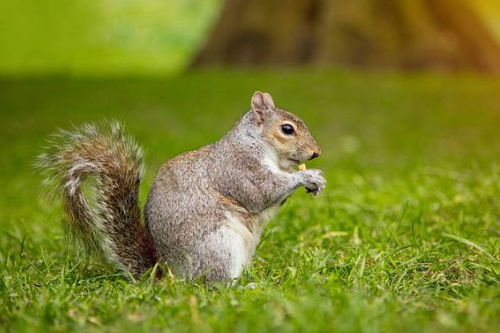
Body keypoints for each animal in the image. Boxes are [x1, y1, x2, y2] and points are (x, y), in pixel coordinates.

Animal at [37, 90, 326, 280]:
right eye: (287, 129)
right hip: (218, 246)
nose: (316, 152)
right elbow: (262, 192)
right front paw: (307, 177)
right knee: (215, 283)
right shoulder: (239, 168)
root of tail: (171, 274)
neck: (258, 143)